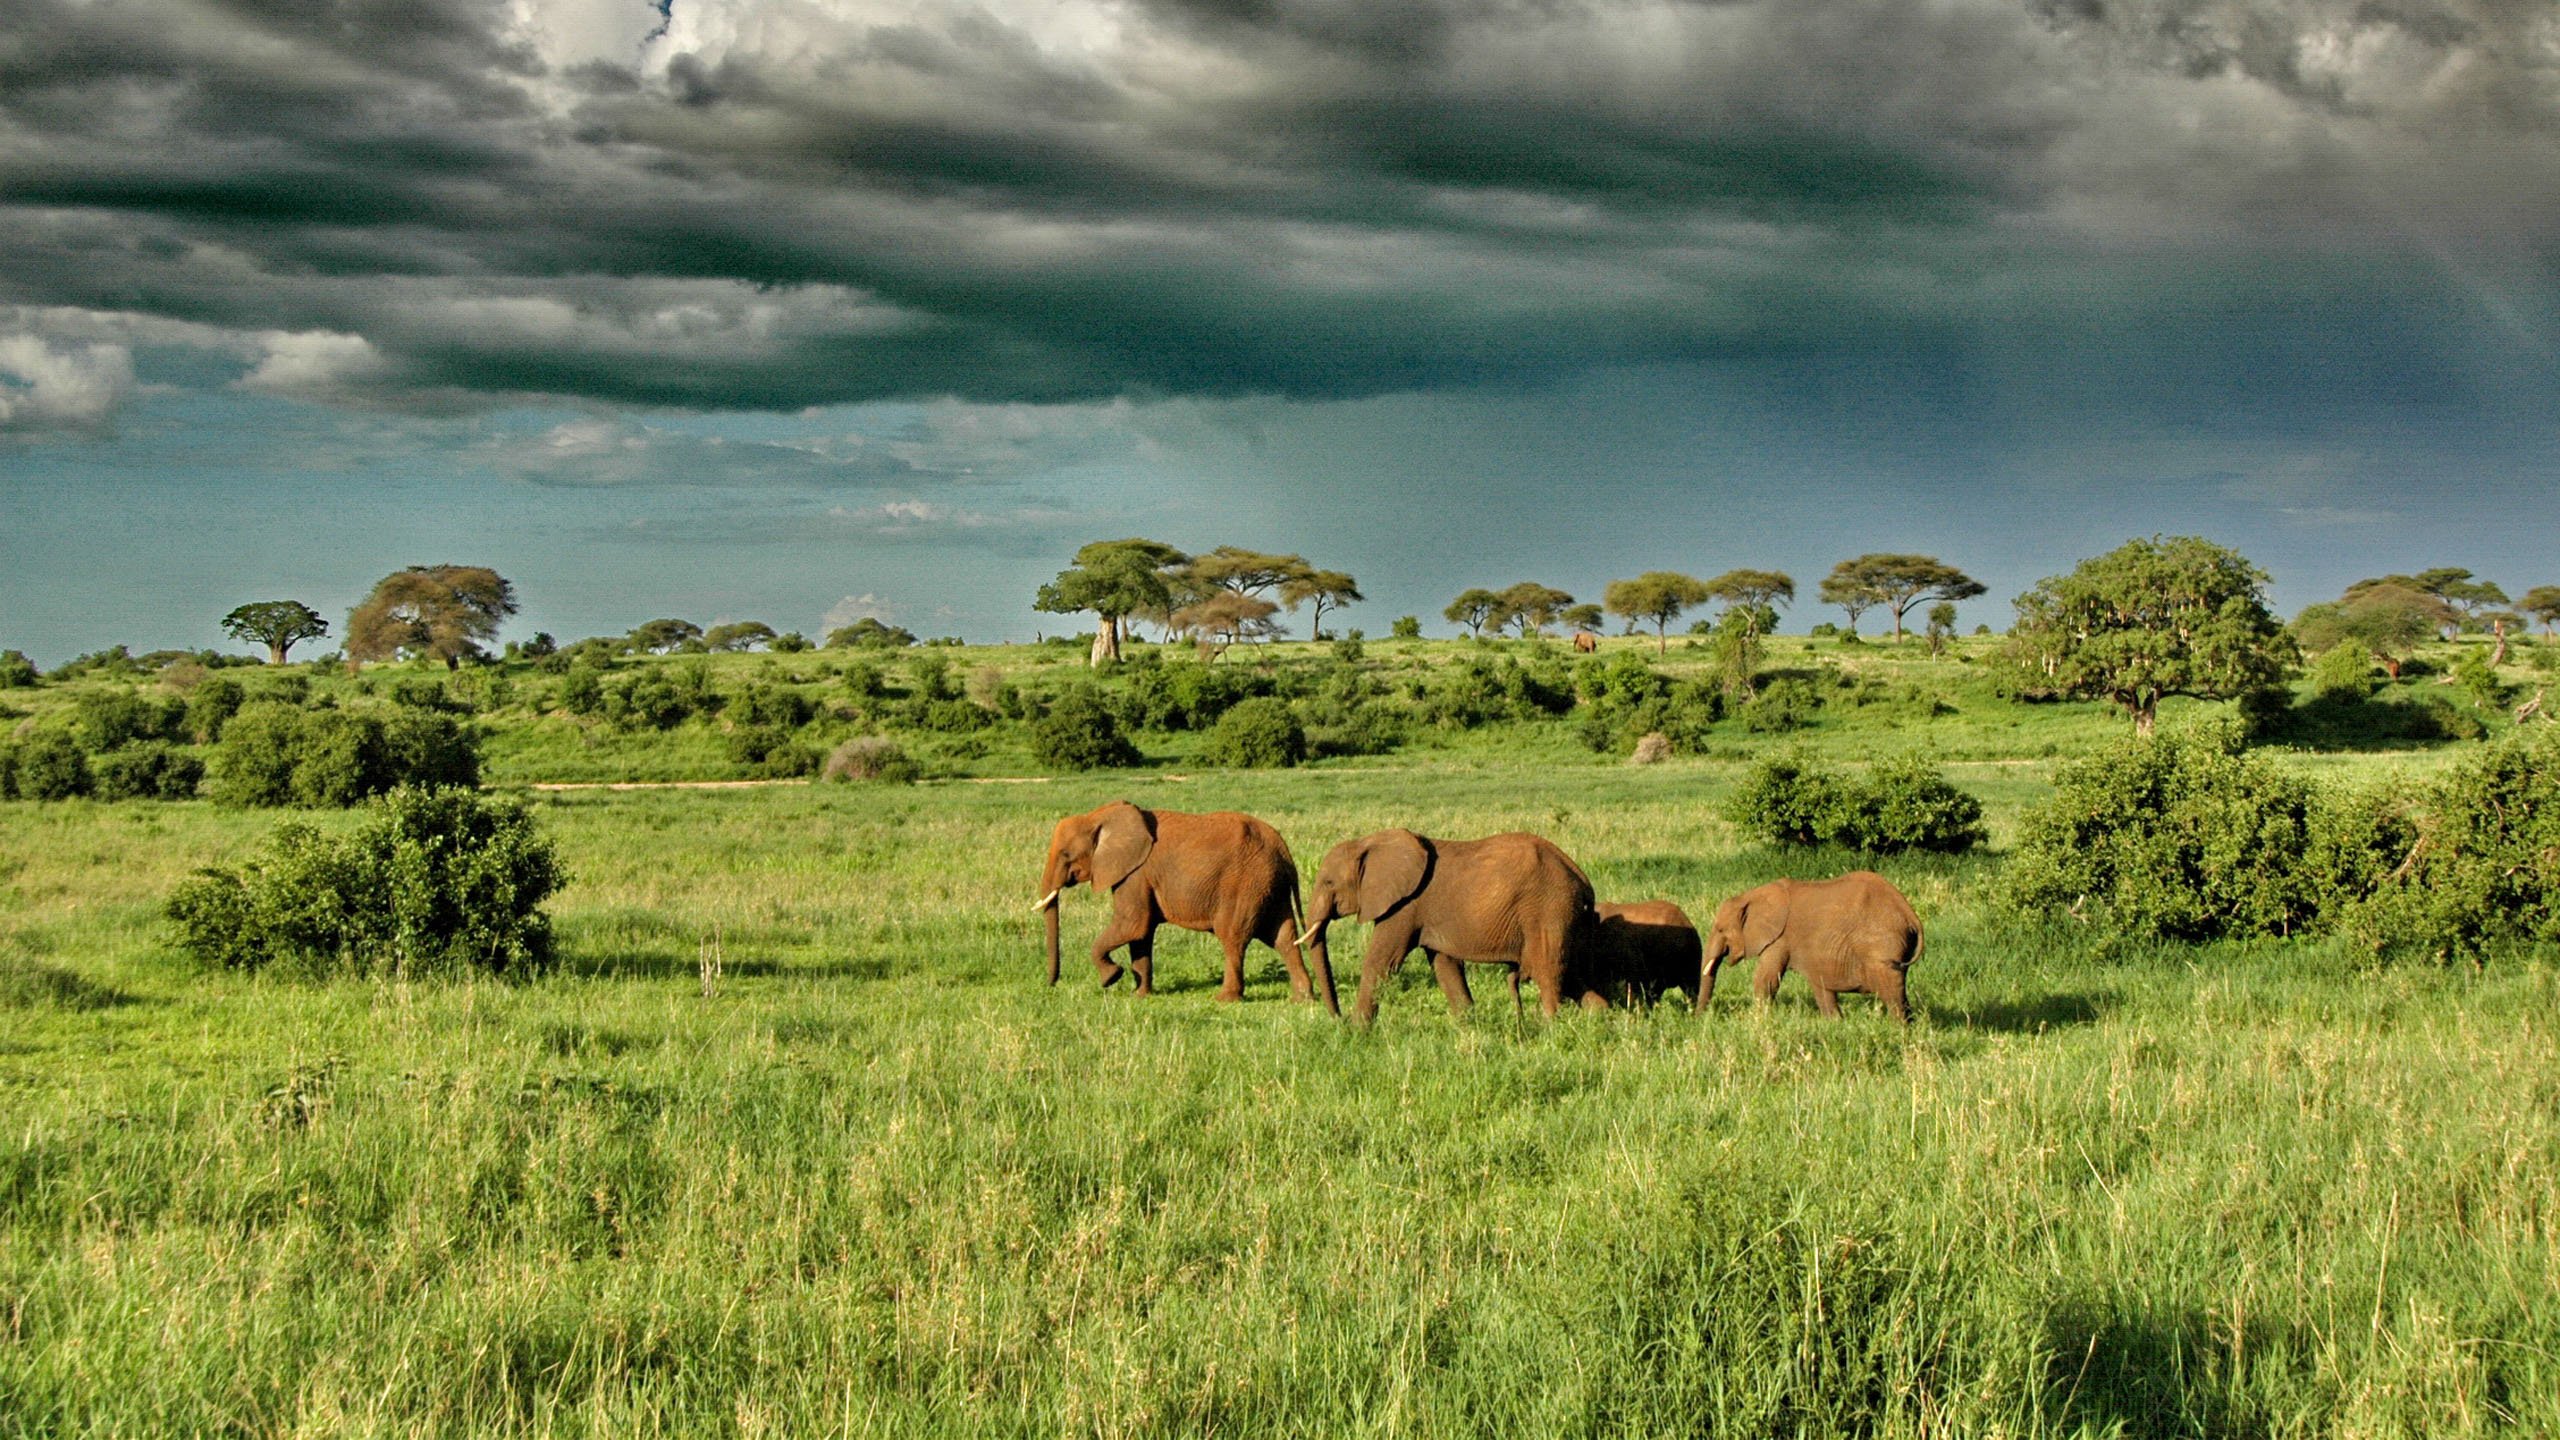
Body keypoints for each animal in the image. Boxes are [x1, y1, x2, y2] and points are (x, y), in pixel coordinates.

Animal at [1034, 794, 1341, 1009]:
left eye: (1065, 855)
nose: (1051, 985)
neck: (1100, 816)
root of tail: (1284, 850)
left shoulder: (1135, 874)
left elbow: (1132, 925)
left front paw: (1111, 977)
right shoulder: (1137, 875)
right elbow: (1141, 934)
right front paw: (1140, 995)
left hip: (1245, 884)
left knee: (1233, 937)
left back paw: (1224, 999)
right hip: (1268, 885)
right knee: (1283, 937)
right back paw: (1302, 999)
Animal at [1300, 830, 1597, 1019]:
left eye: (1328, 882)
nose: (1337, 1017)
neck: (1368, 842)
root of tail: (1580, 876)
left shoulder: (1404, 906)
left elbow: (1381, 961)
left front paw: (1357, 1032)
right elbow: (1445, 965)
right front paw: (1469, 1024)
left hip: (1548, 910)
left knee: (1548, 972)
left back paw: (1550, 1026)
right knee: (1572, 975)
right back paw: (1599, 1021)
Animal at [1699, 860, 1925, 1019]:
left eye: (1720, 929)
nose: (1699, 1018)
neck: (1751, 896)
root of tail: (1909, 912)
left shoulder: (1780, 939)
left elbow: (1765, 979)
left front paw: (1758, 1020)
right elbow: (1821, 985)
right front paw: (1835, 1023)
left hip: (1882, 945)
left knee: (1892, 994)